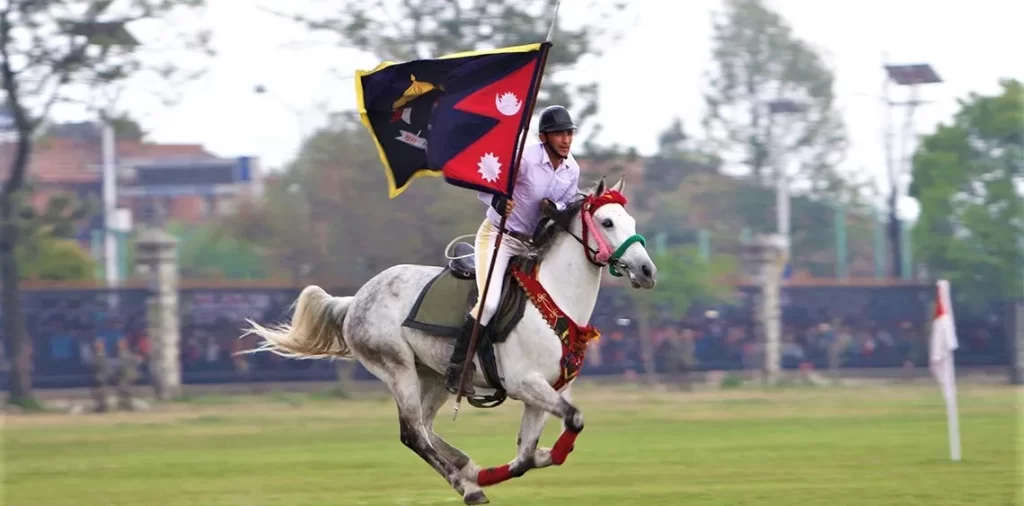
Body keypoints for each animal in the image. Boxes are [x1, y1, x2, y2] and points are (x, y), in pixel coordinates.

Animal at [242, 176, 657, 504]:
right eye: (606, 221)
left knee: (426, 427)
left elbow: (529, 454)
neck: (553, 299)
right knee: (413, 434)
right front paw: (487, 475)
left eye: (631, 221)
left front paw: (507, 463)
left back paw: (465, 468)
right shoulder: (525, 383)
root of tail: (356, 299)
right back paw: (469, 485)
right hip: (398, 370)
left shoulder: (545, 392)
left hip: (435, 376)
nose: (647, 270)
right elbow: (569, 424)